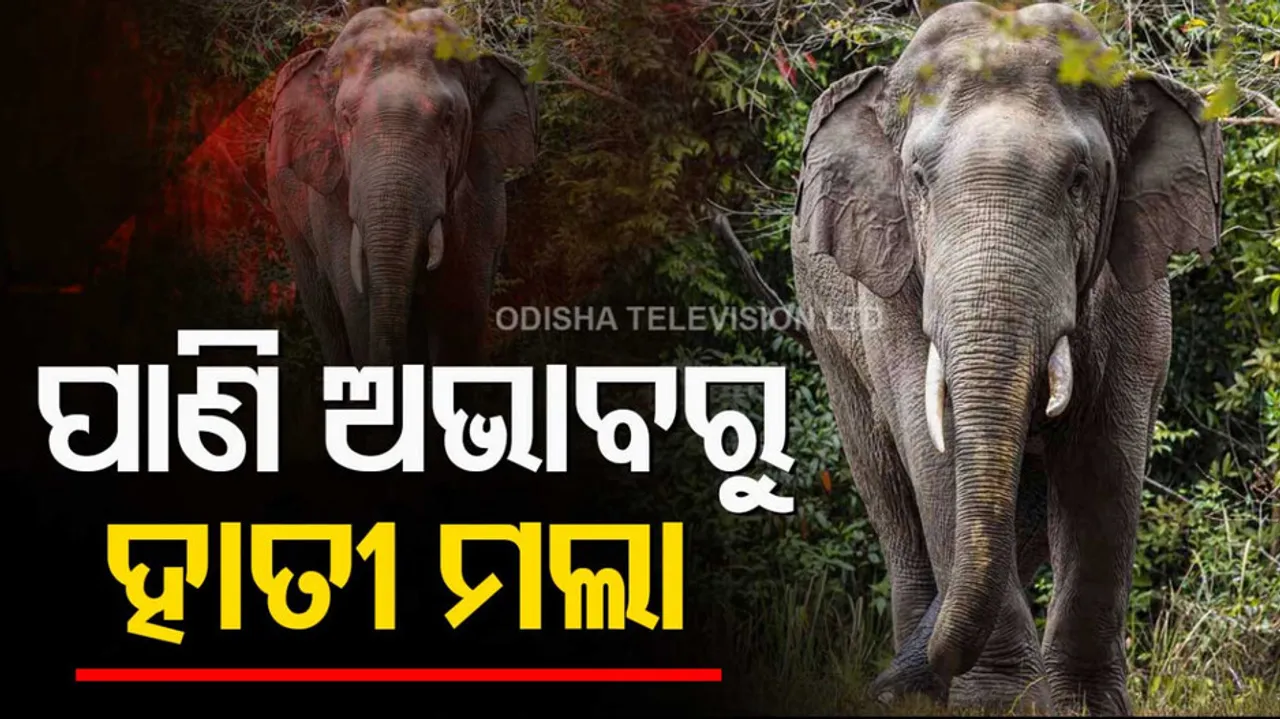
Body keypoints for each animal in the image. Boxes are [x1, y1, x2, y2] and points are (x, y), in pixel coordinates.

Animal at [266, 0, 537, 367]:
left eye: (448, 120)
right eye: (345, 119)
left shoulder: (482, 205)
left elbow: (460, 322)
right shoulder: (333, 199)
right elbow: (360, 312)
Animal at [779, 1, 1221, 715]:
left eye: (1079, 182)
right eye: (918, 181)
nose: (881, 685)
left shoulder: (1134, 288)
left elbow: (1105, 461)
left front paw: (1082, 706)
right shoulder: (893, 288)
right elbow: (935, 452)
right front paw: (999, 703)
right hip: (828, 332)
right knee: (889, 491)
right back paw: (916, 693)